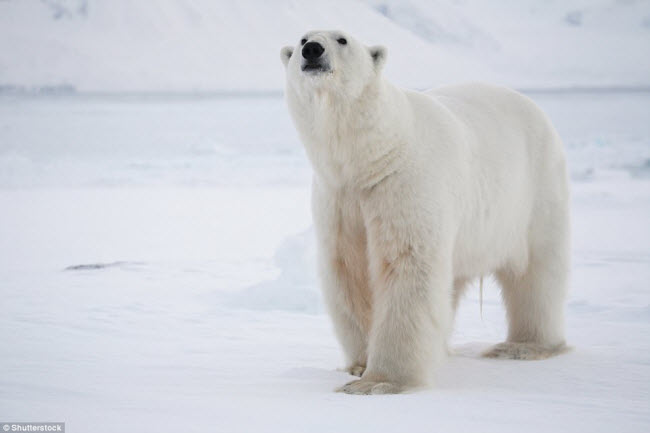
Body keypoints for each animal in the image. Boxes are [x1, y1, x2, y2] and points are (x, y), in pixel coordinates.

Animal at [278, 31, 568, 394]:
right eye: (302, 38)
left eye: (342, 39)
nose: (312, 50)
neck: (373, 156)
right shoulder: (340, 197)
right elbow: (350, 271)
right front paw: (359, 365)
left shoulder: (405, 184)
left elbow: (407, 265)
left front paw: (379, 382)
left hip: (534, 190)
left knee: (538, 271)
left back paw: (522, 346)